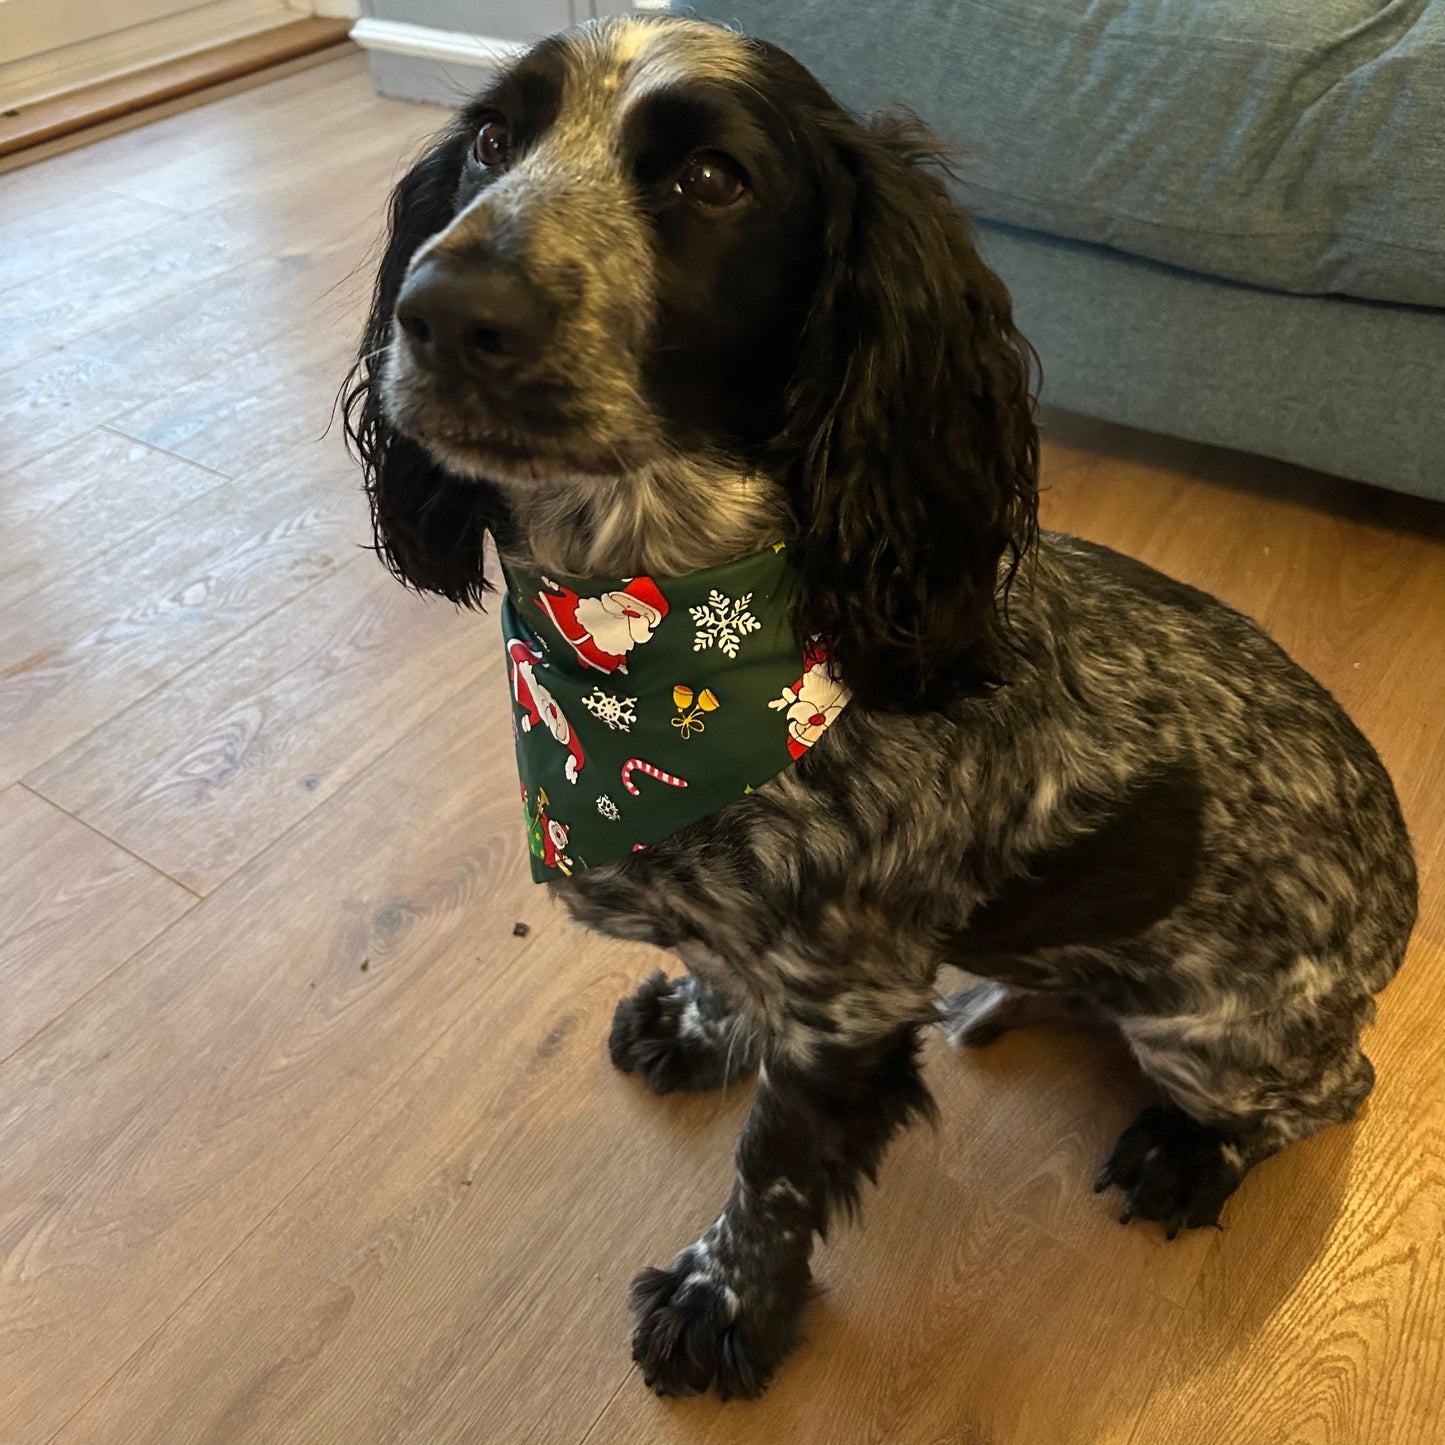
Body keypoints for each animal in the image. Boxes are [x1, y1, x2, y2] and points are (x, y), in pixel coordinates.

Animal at [343, 14, 1416, 1398]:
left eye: (711, 180)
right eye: (488, 140)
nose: (437, 311)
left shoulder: (842, 1010)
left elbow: (771, 1181)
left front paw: (721, 1305)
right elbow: (720, 970)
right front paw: (700, 1021)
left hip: (1219, 1032)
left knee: (1330, 1087)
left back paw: (1188, 1153)